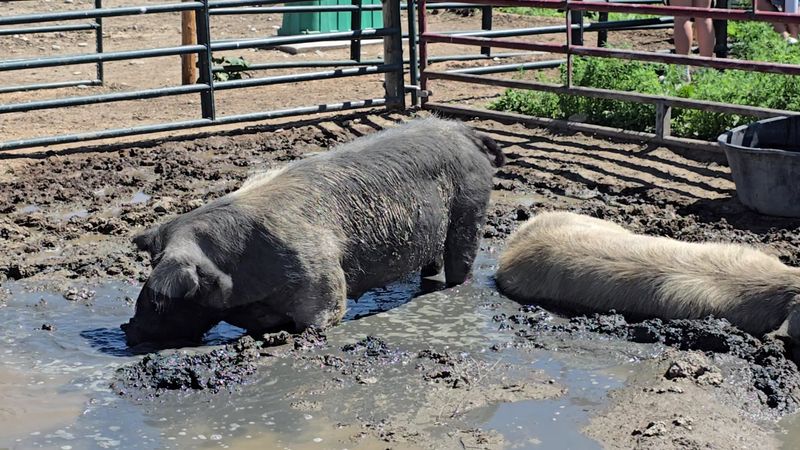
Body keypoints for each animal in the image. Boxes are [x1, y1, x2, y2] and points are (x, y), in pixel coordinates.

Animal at [122, 117, 505, 346]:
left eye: (158, 298)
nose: (128, 329)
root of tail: (462, 130)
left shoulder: (321, 274)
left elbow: (327, 312)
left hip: (471, 207)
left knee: (462, 259)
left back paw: (453, 287)